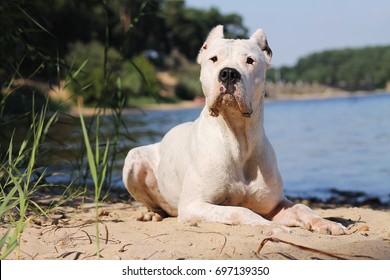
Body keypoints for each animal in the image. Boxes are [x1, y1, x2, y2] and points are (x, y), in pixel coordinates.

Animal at [122, 25, 348, 235]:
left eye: (250, 60)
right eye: (213, 59)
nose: (229, 73)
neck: (238, 139)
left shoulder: (275, 205)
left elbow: (302, 208)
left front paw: (326, 223)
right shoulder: (194, 205)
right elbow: (240, 211)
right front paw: (271, 227)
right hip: (133, 159)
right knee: (154, 204)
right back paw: (151, 214)